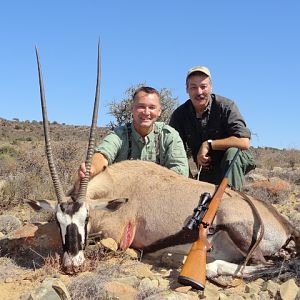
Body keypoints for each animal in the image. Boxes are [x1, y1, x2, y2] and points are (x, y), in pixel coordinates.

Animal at [31, 45, 300, 278]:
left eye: (86, 218)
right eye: (59, 221)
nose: (72, 264)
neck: (117, 187)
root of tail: (284, 223)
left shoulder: (117, 235)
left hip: (240, 231)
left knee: (271, 265)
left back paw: (207, 268)